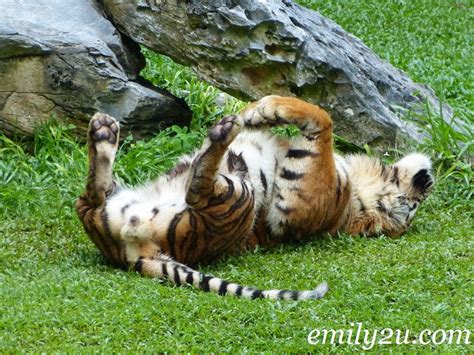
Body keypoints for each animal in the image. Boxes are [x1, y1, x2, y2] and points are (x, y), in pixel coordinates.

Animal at [75, 96, 434, 302]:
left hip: (237, 196)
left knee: (199, 189)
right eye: (414, 207)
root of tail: (133, 253)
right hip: (104, 202)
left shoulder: (302, 193)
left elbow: (323, 117)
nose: (427, 181)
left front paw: (263, 109)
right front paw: (258, 113)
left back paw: (221, 134)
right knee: (91, 194)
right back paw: (104, 132)